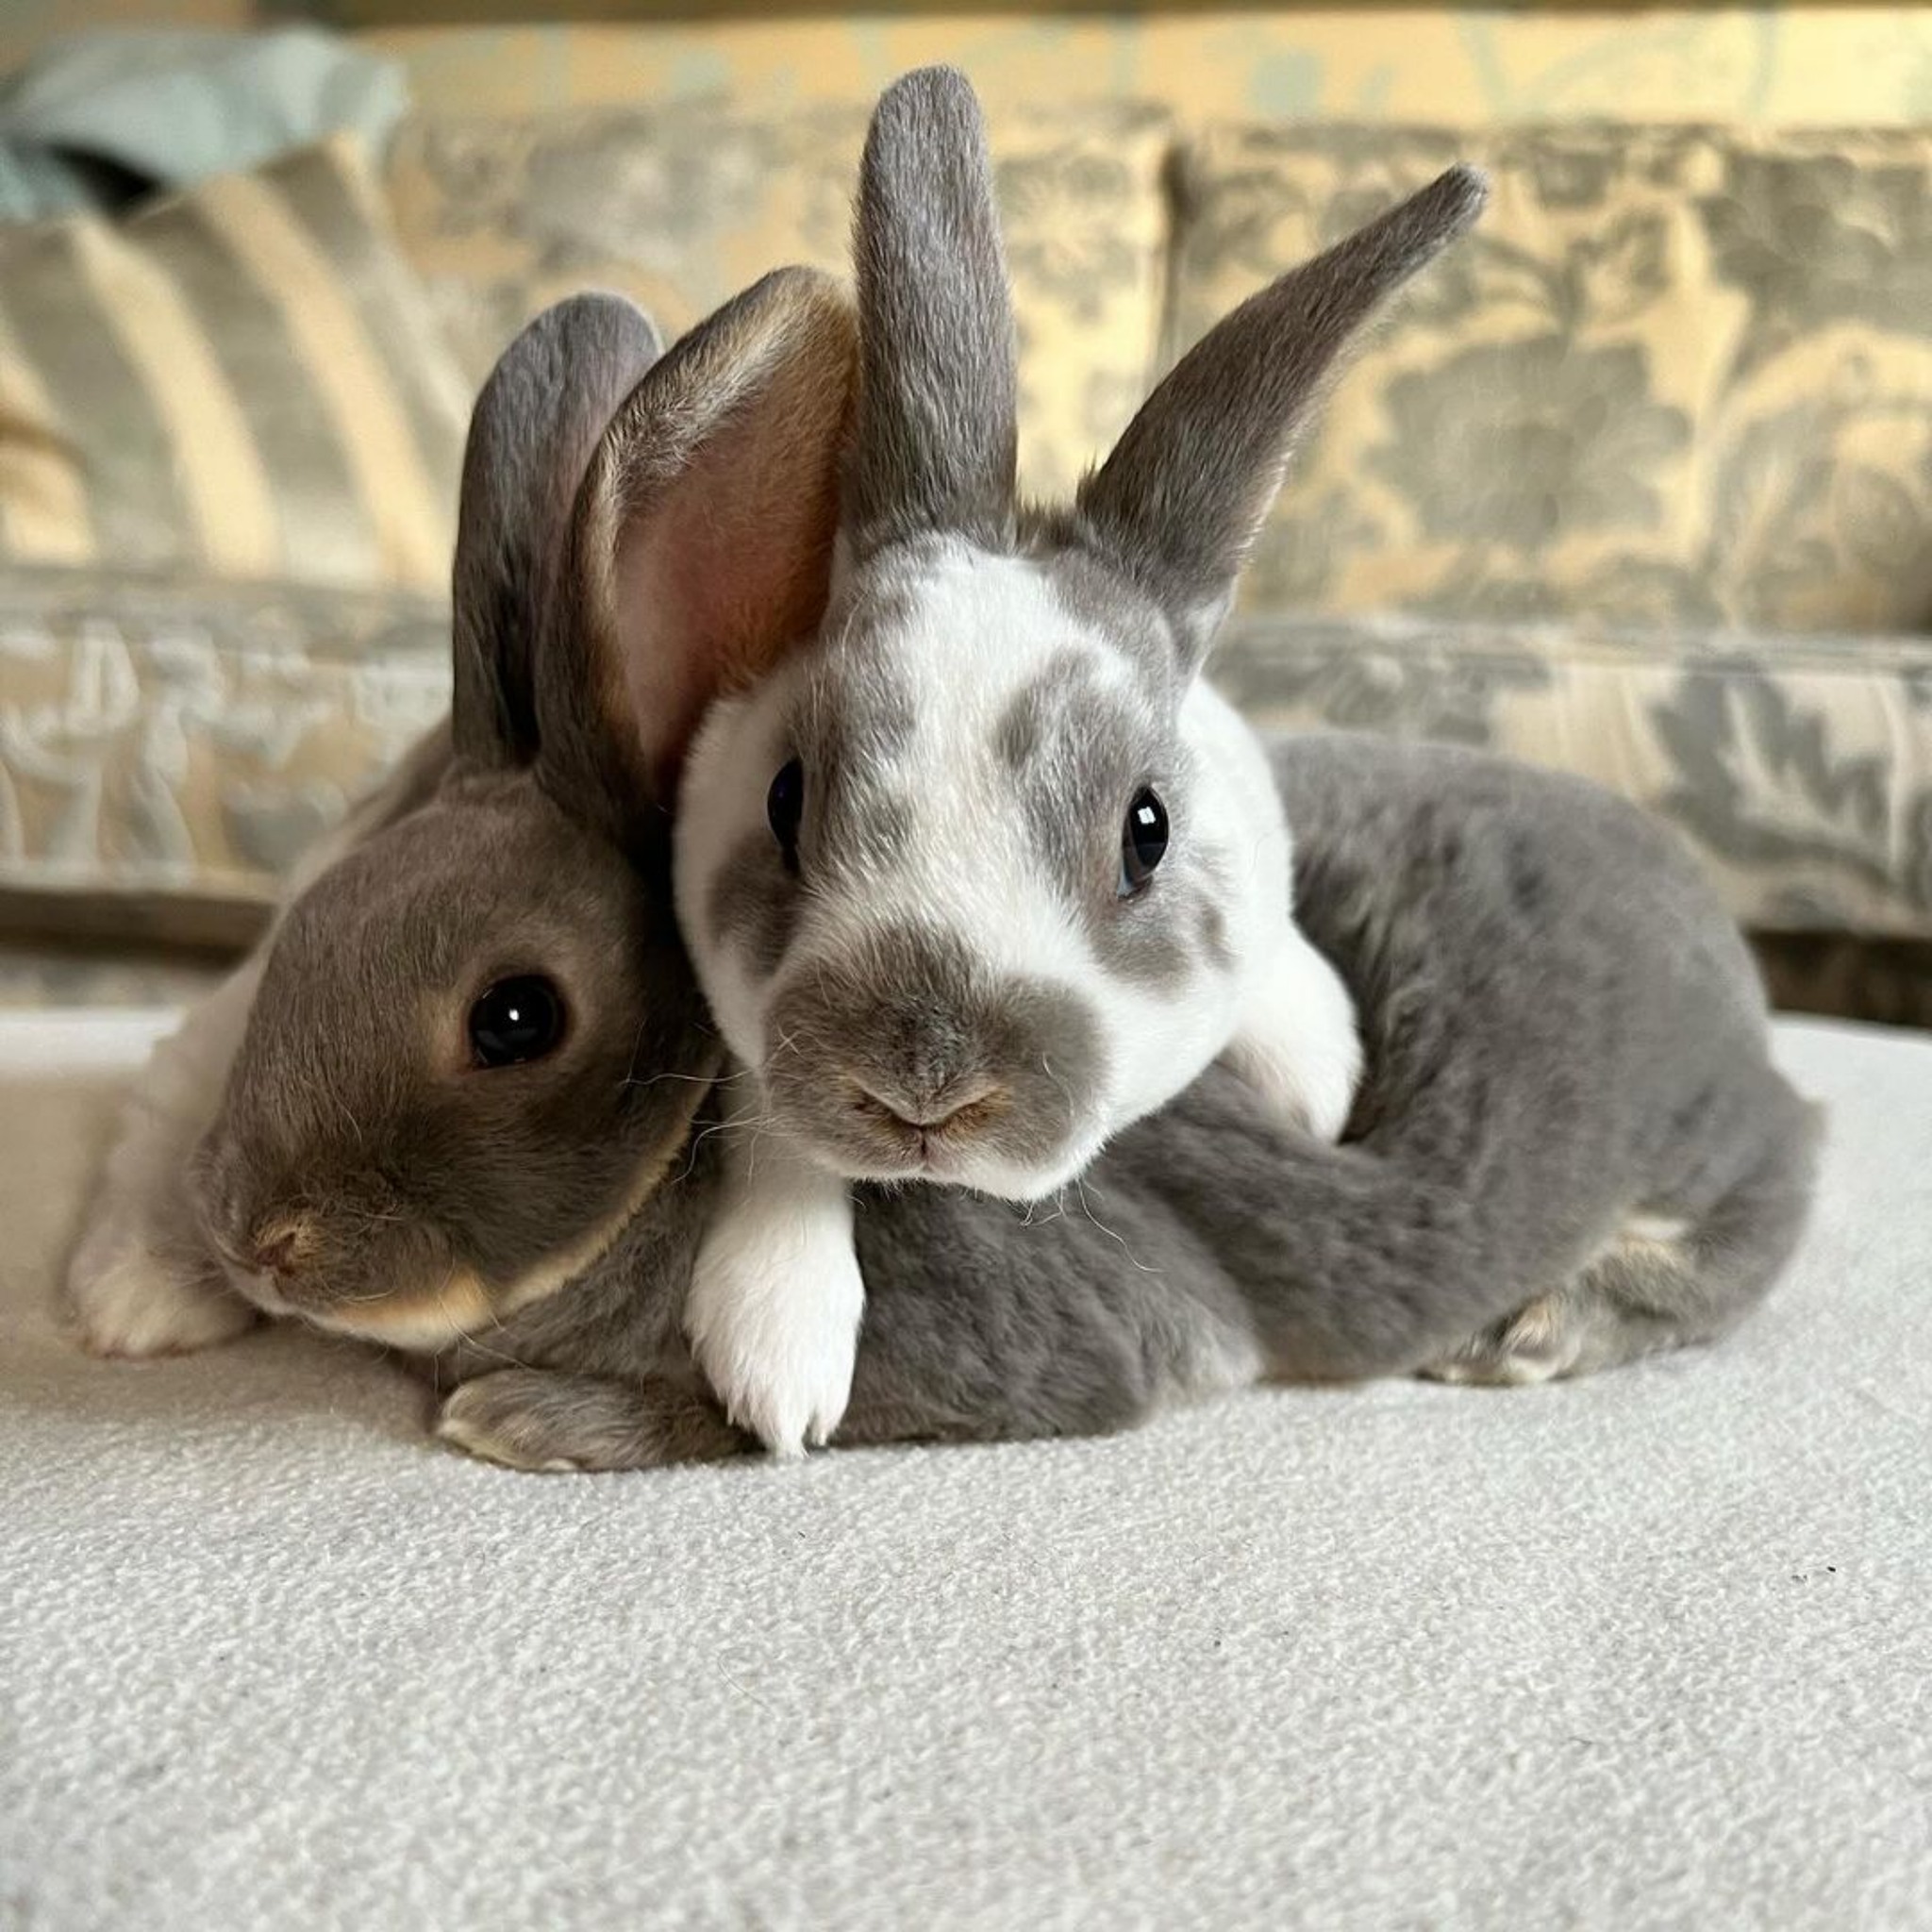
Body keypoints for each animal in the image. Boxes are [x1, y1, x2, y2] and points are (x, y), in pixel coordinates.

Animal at [64, 270, 1815, 1470]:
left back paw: (1545, 1323)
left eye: (513, 1017)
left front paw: (526, 1417)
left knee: (1772, 1190)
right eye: (306, 939)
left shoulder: (1061, 1337)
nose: (261, 1237)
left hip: (1688, 1129)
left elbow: (773, 1415)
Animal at [670, 67, 1489, 1454]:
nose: (928, 1086)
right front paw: (776, 1355)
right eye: (784, 800)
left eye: (1145, 830)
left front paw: (1317, 1073)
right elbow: (776, 1131)